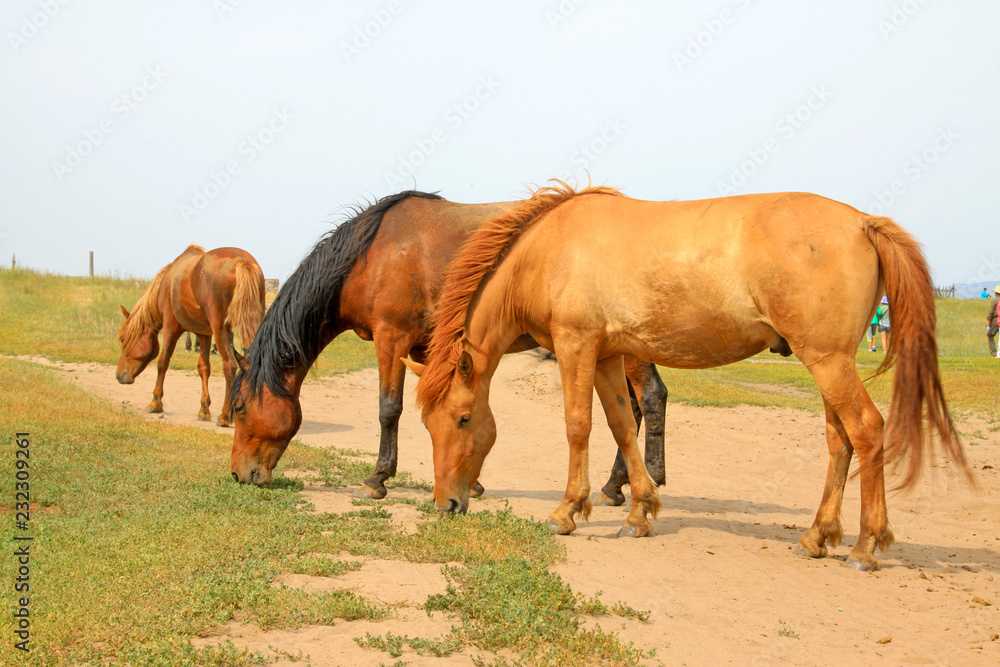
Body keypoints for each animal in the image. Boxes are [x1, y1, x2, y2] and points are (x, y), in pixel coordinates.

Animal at [116, 245, 265, 427]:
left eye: (123, 340)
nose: (119, 376)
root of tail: (241, 262)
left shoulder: (170, 328)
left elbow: (162, 362)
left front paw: (155, 403)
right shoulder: (204, 334)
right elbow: (204, 368)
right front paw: (204, 410)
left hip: (221, 329)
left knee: (229, 365)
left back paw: (224, 416)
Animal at [228, 191, 668, 501]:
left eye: (238, 407)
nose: (238, 475)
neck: (371, 255)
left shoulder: (392, 337)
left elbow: (389, 409)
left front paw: (377, 479)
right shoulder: (427, 351)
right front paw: (469, 483)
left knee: (647, 399)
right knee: (634, 406)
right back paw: (617, 485)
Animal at [407, 182, 971, 572]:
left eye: (463, 419)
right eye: (427, 425)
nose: (446, 504)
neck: (547, 252)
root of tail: (863, 222)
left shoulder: (576, 347)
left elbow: (577, 426)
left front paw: (568, 510)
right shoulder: (609, 357)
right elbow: (620, 426)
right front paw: (639, 511)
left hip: (828, 361)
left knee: (867, 432)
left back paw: (865, 546)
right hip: (831, 362)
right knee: (841, 441)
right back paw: (817, 536)